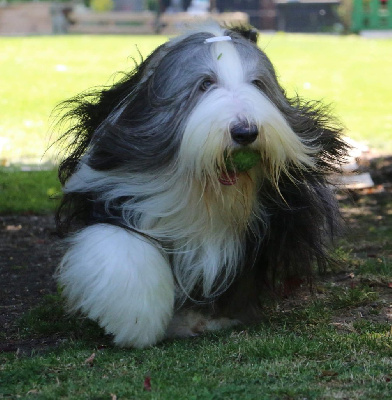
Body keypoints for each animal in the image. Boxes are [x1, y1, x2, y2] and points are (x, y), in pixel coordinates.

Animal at [55, 24, 346, 346]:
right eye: (205, 83)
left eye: (258, 84)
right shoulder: (113, 188)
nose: (245, 132)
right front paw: (134, 319)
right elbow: (122, 245)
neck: (204, 190)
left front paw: (207, 318)